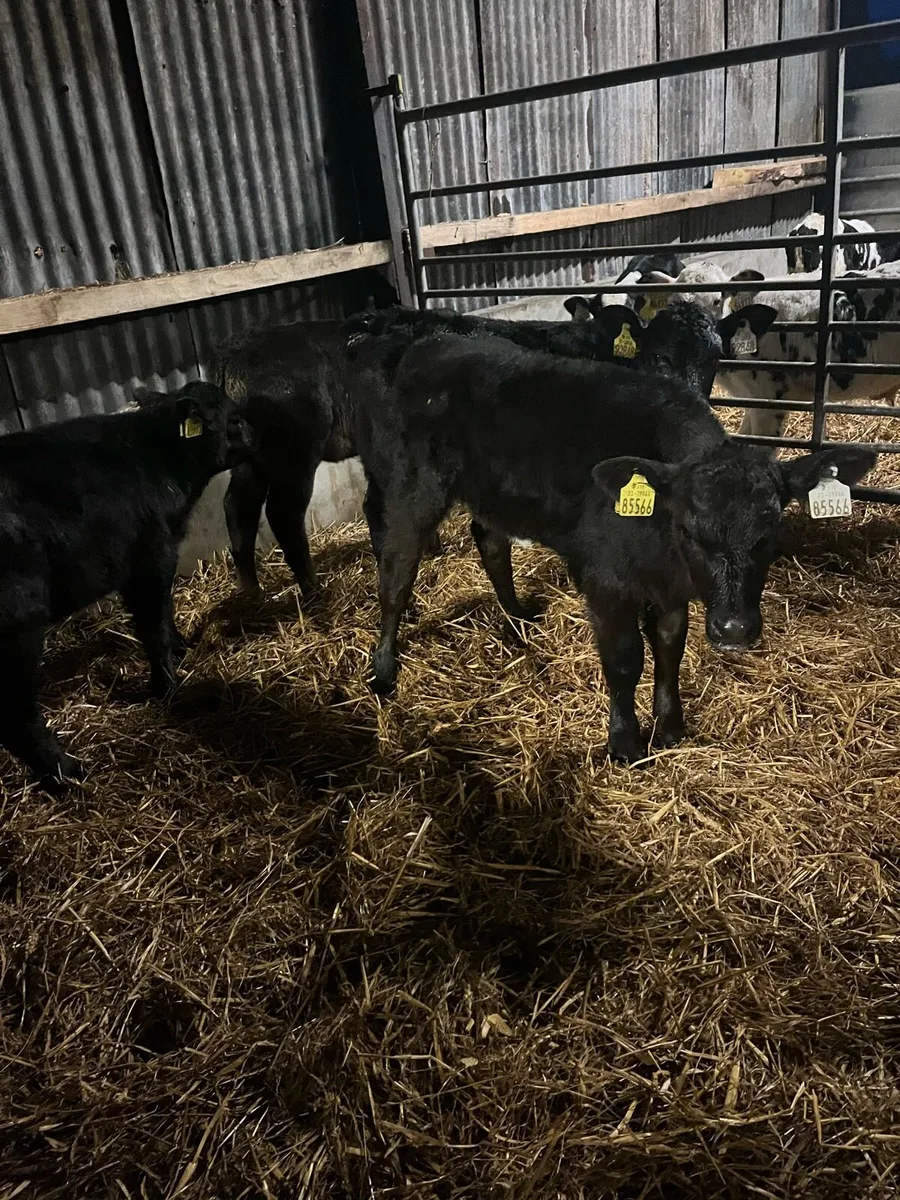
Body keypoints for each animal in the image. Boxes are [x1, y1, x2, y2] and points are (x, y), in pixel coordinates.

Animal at [0, 382, 253, 786]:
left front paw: (181, 648)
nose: (258, 435)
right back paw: (67, 773)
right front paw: (167, 688)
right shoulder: (148, 560)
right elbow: (152, 627)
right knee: (15, 714)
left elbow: (166, 610)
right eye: (234, 419)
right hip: (18, 623)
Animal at [354, 332, 876, 762]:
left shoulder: (671, 591)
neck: (662, 545)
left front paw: (670, 728)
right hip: (410, 488)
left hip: (491, 492)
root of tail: (431, 343)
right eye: (691, 530)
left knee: (490, 541)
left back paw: (516, 614)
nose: (733, 629)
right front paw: (624, 744)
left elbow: (669, 650)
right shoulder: (607, 583)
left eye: (770, 533)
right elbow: (625, 660)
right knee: (396, 573)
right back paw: (384, 669)